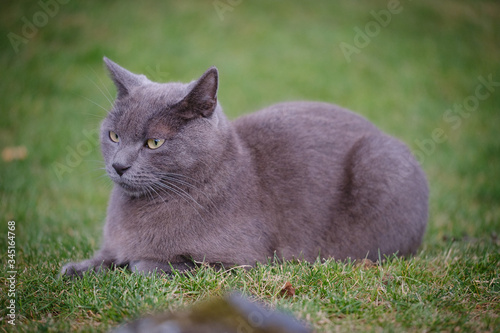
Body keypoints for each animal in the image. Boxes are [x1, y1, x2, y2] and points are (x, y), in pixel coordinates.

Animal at [60, 57, 428, 278]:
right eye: (114, 135)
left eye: (154, 143)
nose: (119, 165)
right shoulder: (113, 244)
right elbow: (104, 258)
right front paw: (75, 269)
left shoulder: (243, 261)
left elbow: (158, 264)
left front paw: (138, 262)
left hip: (379, 163)